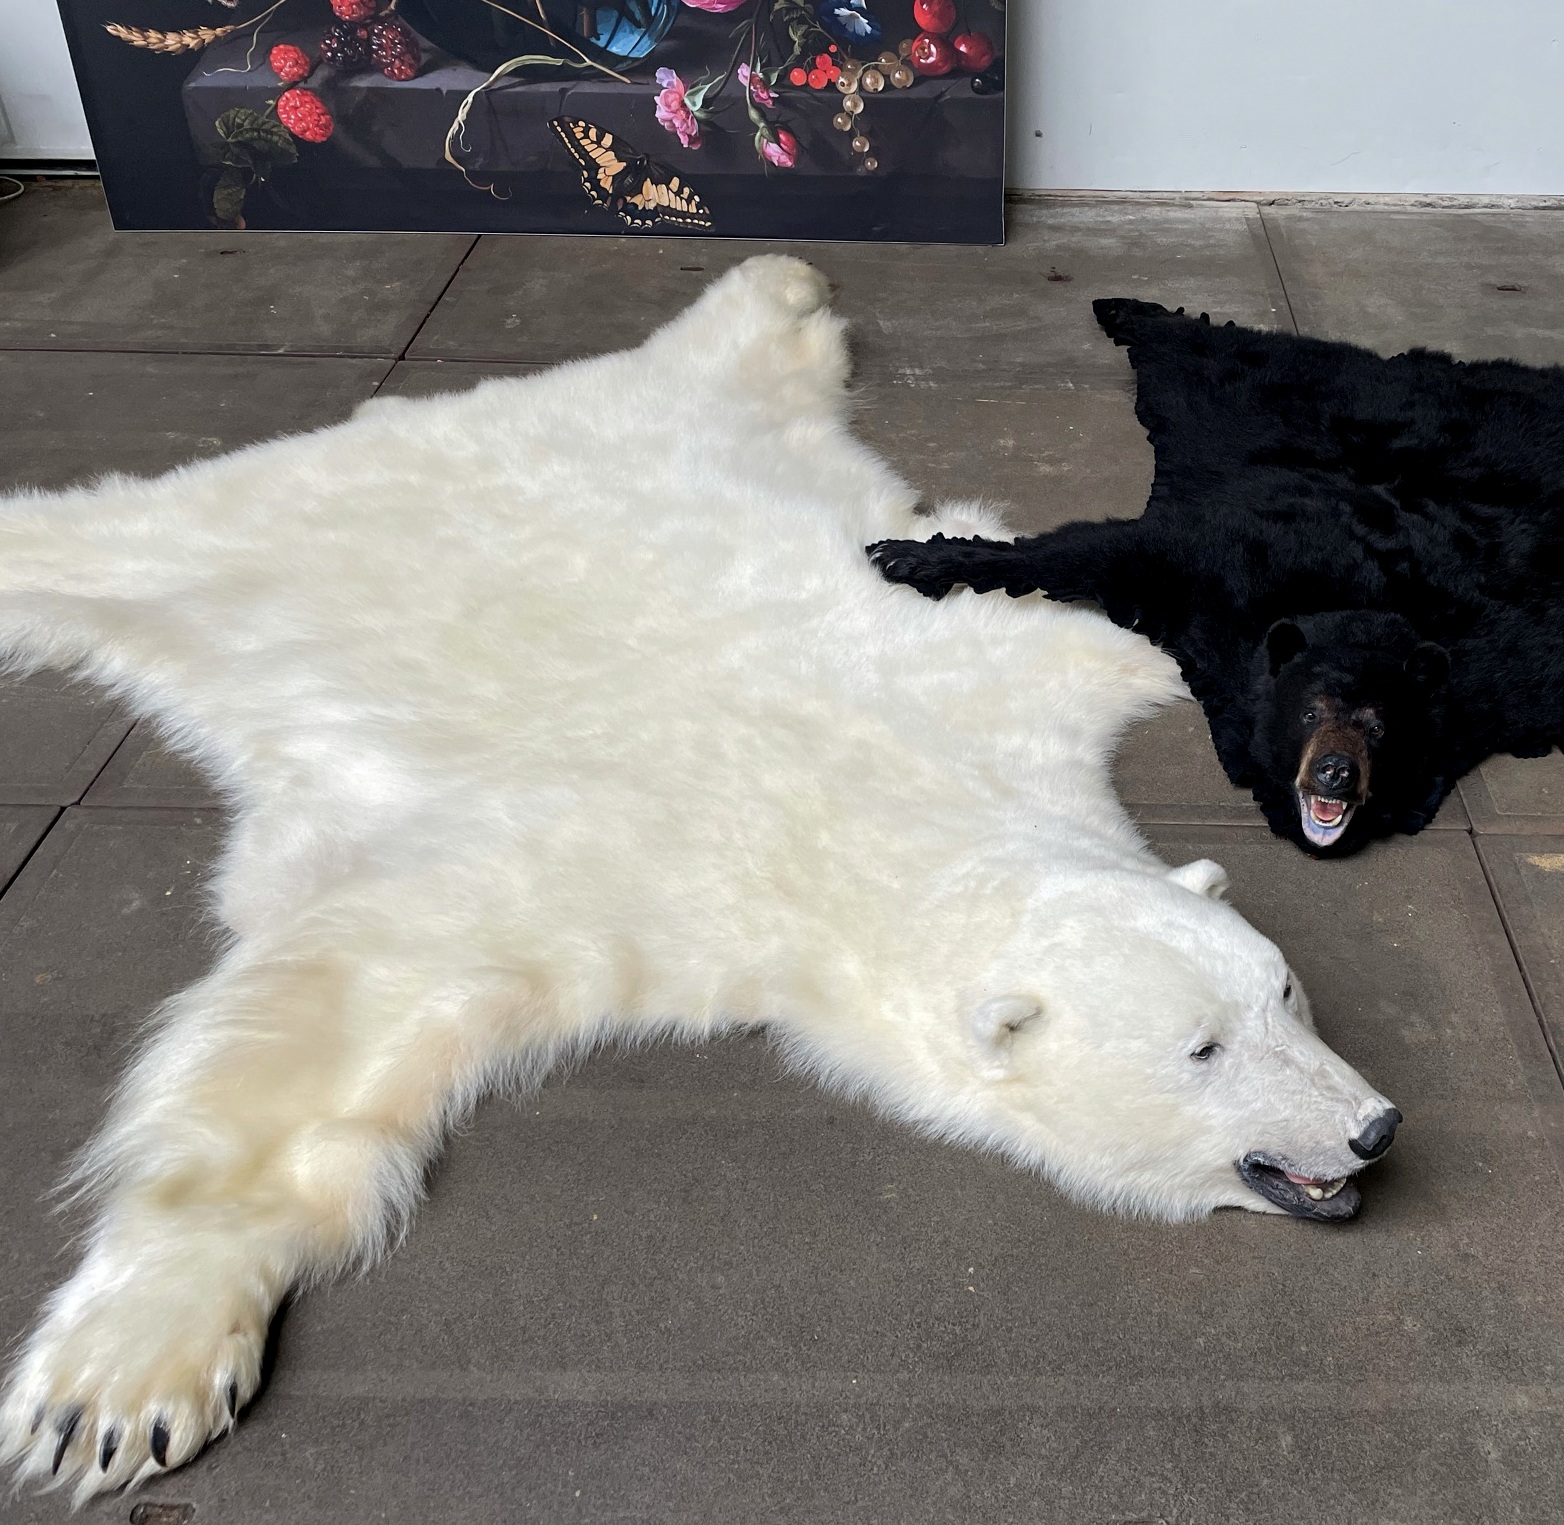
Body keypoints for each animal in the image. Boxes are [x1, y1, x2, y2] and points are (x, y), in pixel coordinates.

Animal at [0, 260, 1399, 1499]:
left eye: (1284, 994)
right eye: (1199, 1049)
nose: (1372, 1126)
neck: (875, 794)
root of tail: (439, 412)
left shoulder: (1017, 669)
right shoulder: (612, 867)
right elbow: (334, 1016)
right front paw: (118, 1386)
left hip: (697, 418)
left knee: (740, 355)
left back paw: (782, 284)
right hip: (231, 538)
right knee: (104, 534)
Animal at [868, 298, 1564, 856]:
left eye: (1379, 727)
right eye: (1309, 711)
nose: (1336, 773)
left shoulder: (1503, 676)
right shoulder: (1222, 558)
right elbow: (1094, 547)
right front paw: (917, 556)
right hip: (1255, 401)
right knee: (1220, 354)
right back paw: (1128, 310)